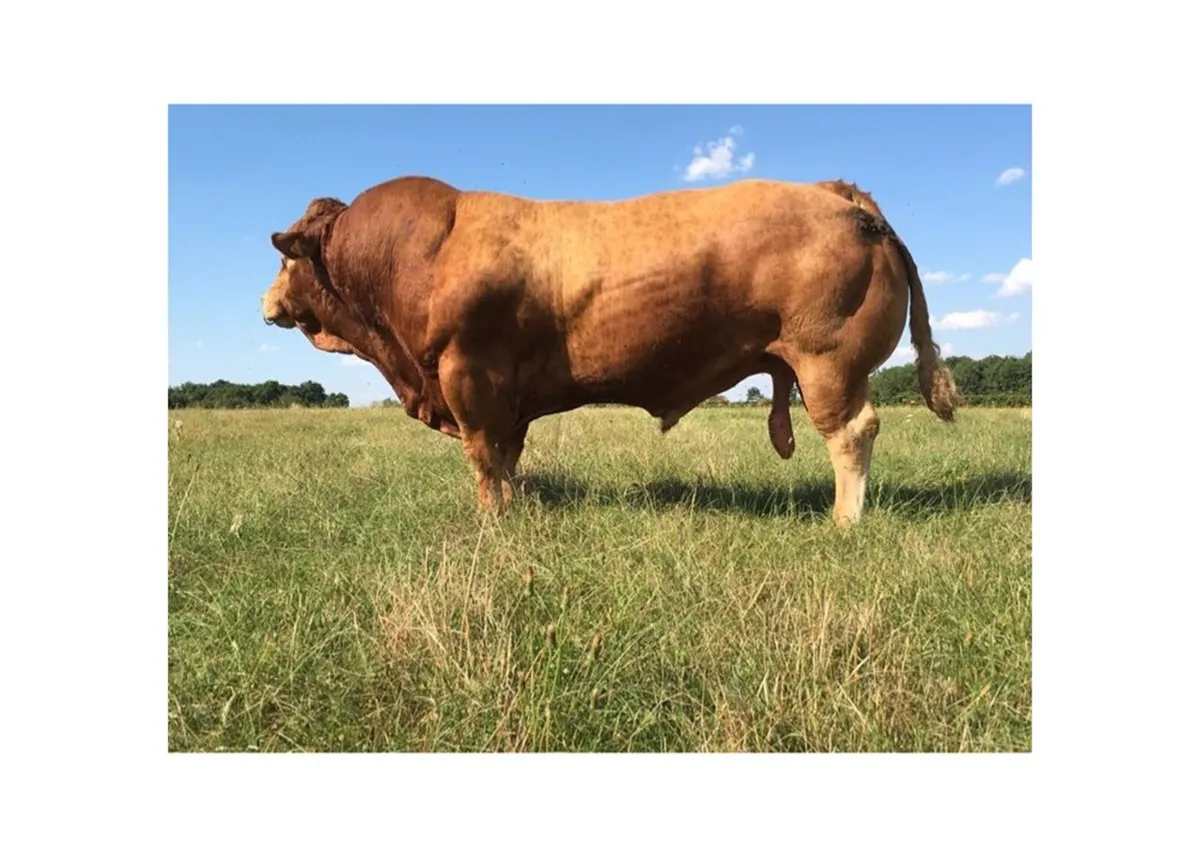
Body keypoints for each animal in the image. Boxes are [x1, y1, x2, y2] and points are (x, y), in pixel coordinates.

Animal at [260, 175, 961, 528]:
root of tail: (835, 192)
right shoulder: (505, 393)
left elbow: (484, 456)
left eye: (285, 260)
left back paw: (845, 522)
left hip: (828, 361)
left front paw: (492, 522)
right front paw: (517, 509)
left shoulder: (468, 372)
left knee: (853, 431)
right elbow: (507, 456)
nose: (267, 303)